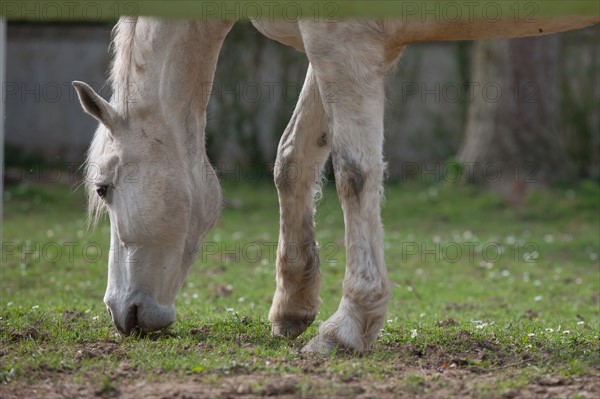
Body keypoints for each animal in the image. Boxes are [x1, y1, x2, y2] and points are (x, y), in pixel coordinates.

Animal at [72, 14, 596, 354]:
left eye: (102, 188)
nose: (122, 311)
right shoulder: (325, 47)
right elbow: (293, 160)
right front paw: (292, 306)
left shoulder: (344, 43)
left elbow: (353, 174)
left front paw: (349, 326)